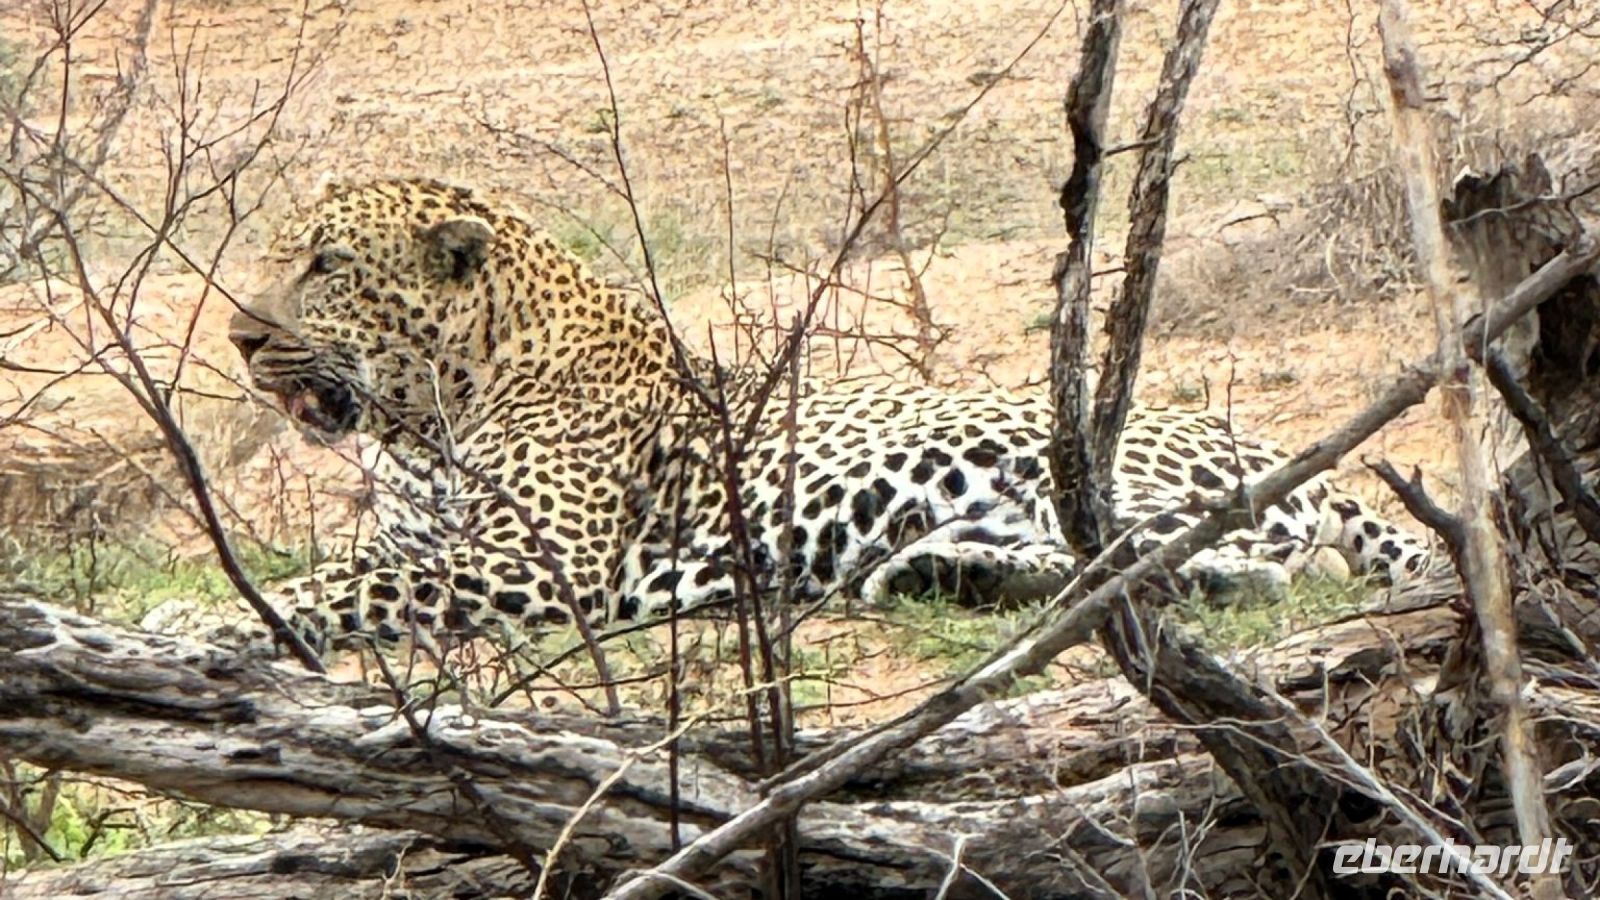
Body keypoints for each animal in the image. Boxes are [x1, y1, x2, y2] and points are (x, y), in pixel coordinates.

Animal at [180, 177, 1440, 660]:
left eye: (325, 266)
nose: (238, 338)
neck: (426, 415)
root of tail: (1298, 457)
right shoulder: (428, 535)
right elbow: (344, 566)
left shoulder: (540, 563)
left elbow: (340, 587)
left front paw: (196, 627)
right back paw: (958, 581)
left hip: (1078, 465)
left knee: (1269, 563)